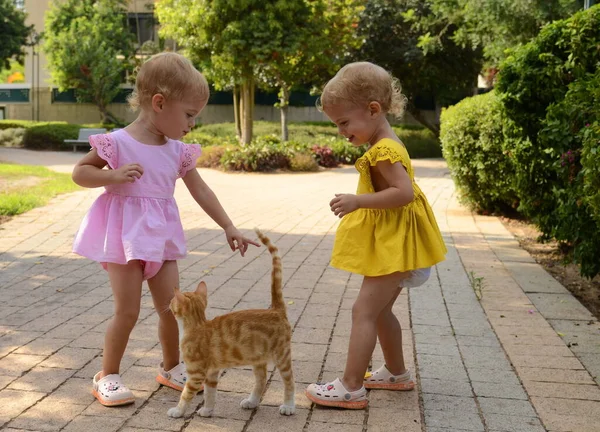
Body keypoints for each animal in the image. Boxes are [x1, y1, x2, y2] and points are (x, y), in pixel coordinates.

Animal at [166, 230, 296, 418]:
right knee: (261, 380)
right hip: (258, 358)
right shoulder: (212, 373)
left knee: (290, 381)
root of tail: (275, 309)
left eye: (172, 301)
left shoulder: (196, 374)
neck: (196, 325)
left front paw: (178, 410)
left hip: (282, 355)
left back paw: (289, 406)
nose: (168, 303)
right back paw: (252, 401)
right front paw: (207, 410)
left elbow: (186, 394)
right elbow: (210, 393)